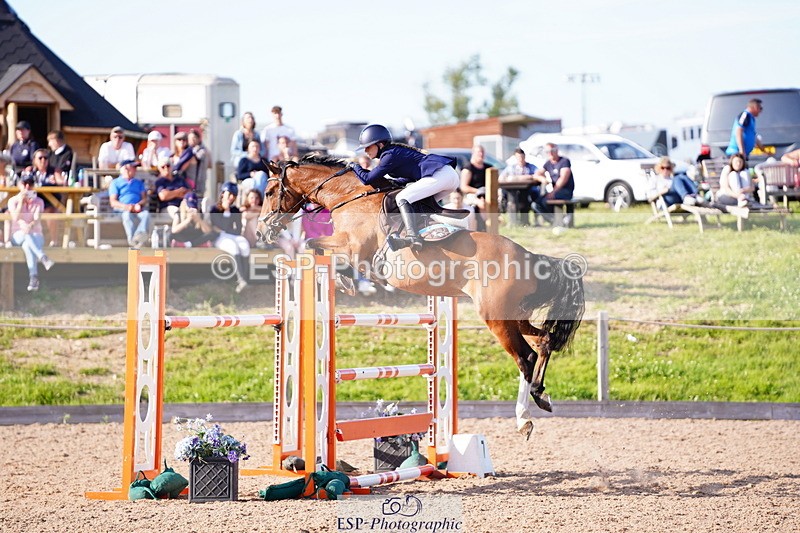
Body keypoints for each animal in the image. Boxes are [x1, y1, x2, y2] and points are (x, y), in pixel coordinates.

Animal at [256, 155, 585, 438]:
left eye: (270, 191)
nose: (261, 233)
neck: (349, 197)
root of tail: (529, 256)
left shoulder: (353, 248)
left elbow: (313, 244)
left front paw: (344, 280)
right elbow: (316, 246)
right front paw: (345, 280)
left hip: (496, 318)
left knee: (525, 357)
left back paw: (523, 419)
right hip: (513, 315)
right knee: (543, 342)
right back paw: (541, 396)